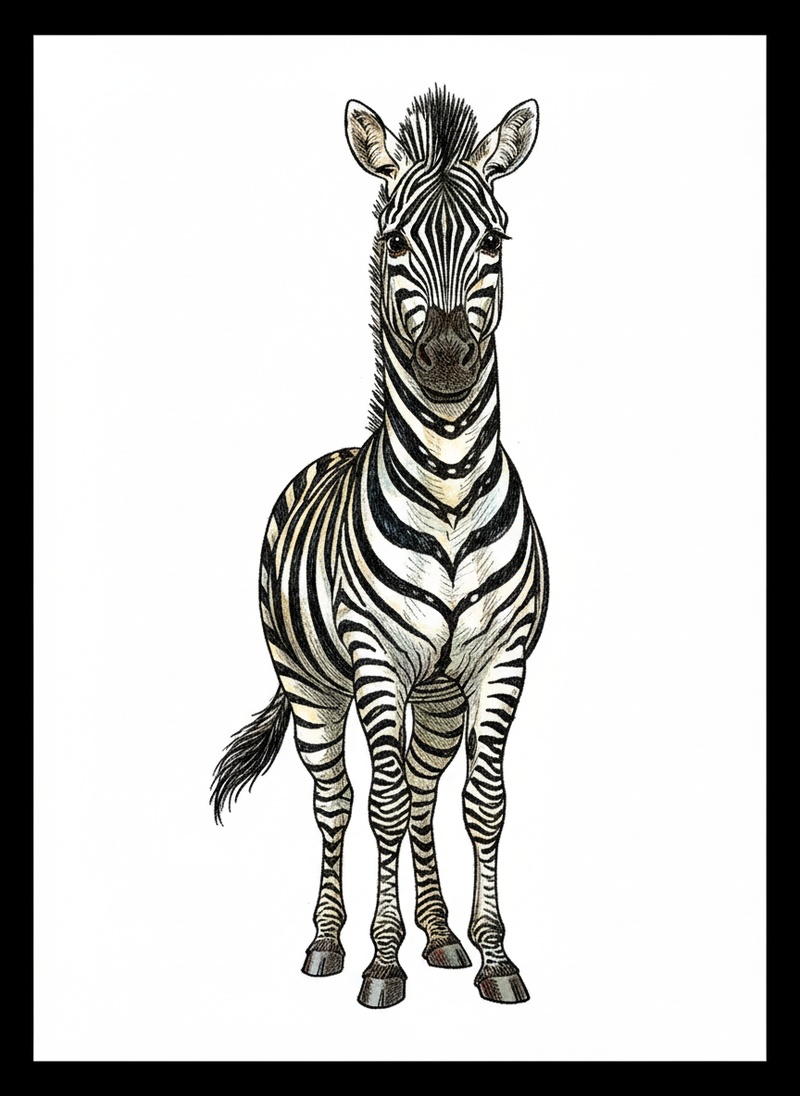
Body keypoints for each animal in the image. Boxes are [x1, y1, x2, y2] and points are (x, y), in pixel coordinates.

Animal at [211, 87, 548, 1009]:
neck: (449, 489)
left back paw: (442, 938)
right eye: (396, 240)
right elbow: (384, 807)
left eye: (496, 239)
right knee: (338, 801)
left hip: (438, 695)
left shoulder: (502, 658)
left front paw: (494, 957)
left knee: (429, 793)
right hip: (313, 687)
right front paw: (381, 961)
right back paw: (329, 942)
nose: (447, 357)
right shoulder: (375, 659)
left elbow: (482, 803)